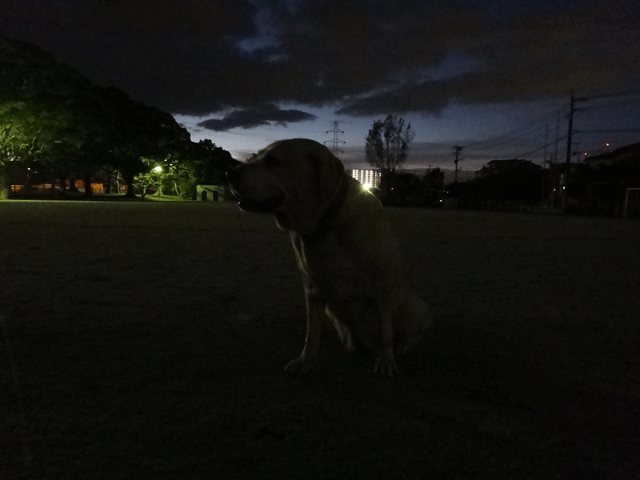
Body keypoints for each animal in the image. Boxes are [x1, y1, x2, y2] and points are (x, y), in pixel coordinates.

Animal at [225, 137, 430, 376]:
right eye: (254, 157)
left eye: (273, 161)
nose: (230, 172)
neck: (325, 225)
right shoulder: (313, 289)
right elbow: (311, 332)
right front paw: (306, 360)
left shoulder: (381, 286)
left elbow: (384, 331)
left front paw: (386, 360)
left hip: (414, 308)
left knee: (411, 331)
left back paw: (401, 346)